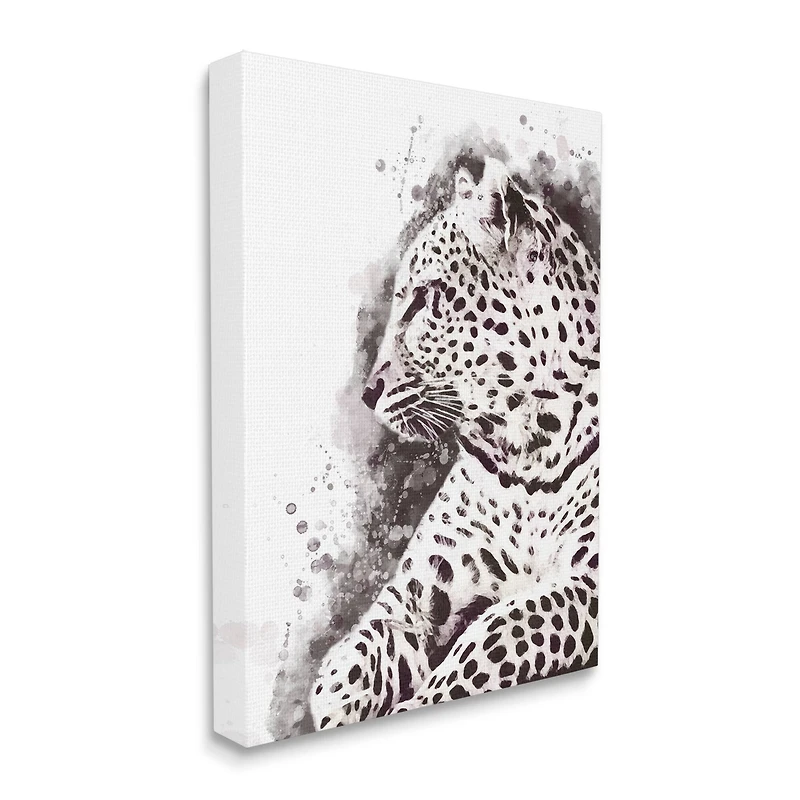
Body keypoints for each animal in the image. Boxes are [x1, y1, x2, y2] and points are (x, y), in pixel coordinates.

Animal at [310, 156, 599, 729]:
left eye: (425, 300)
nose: (367, 392)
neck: (526, 451)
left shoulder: (589, 580)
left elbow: (505, 631)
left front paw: (422, 701)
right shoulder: (420, 591)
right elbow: (365, 644)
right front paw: (333, 702)